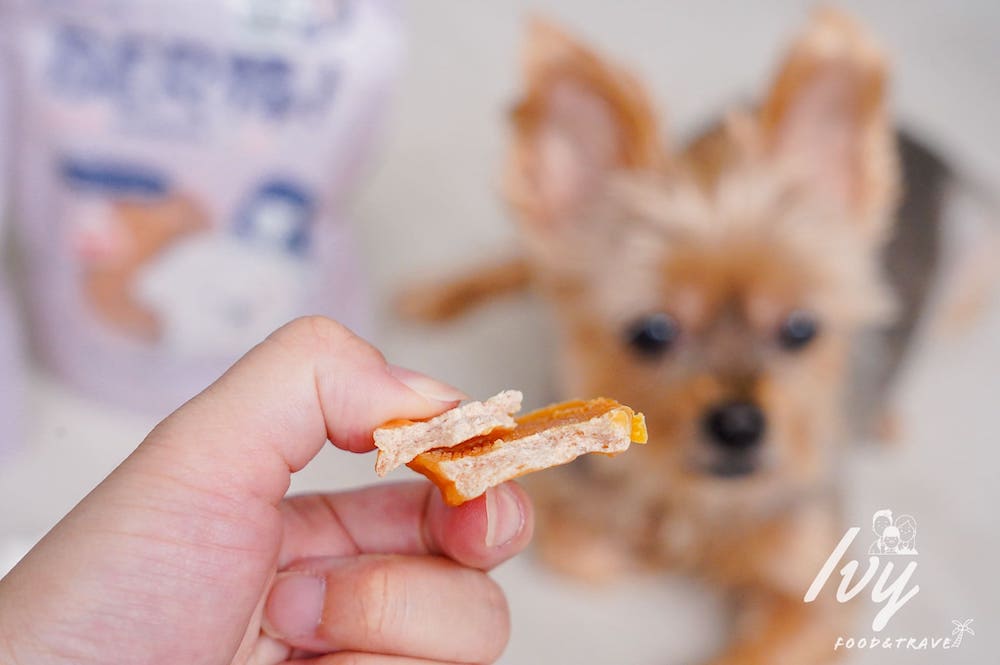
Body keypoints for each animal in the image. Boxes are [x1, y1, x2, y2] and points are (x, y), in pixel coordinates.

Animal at [400, 10, 968, 664]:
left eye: (802, 329)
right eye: (652, 332)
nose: (740, 424)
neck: (694, 497)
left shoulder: (814, 586)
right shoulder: (574, 494)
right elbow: (579, 551)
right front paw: (637, 553)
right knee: (528, 259)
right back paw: (433, 294)